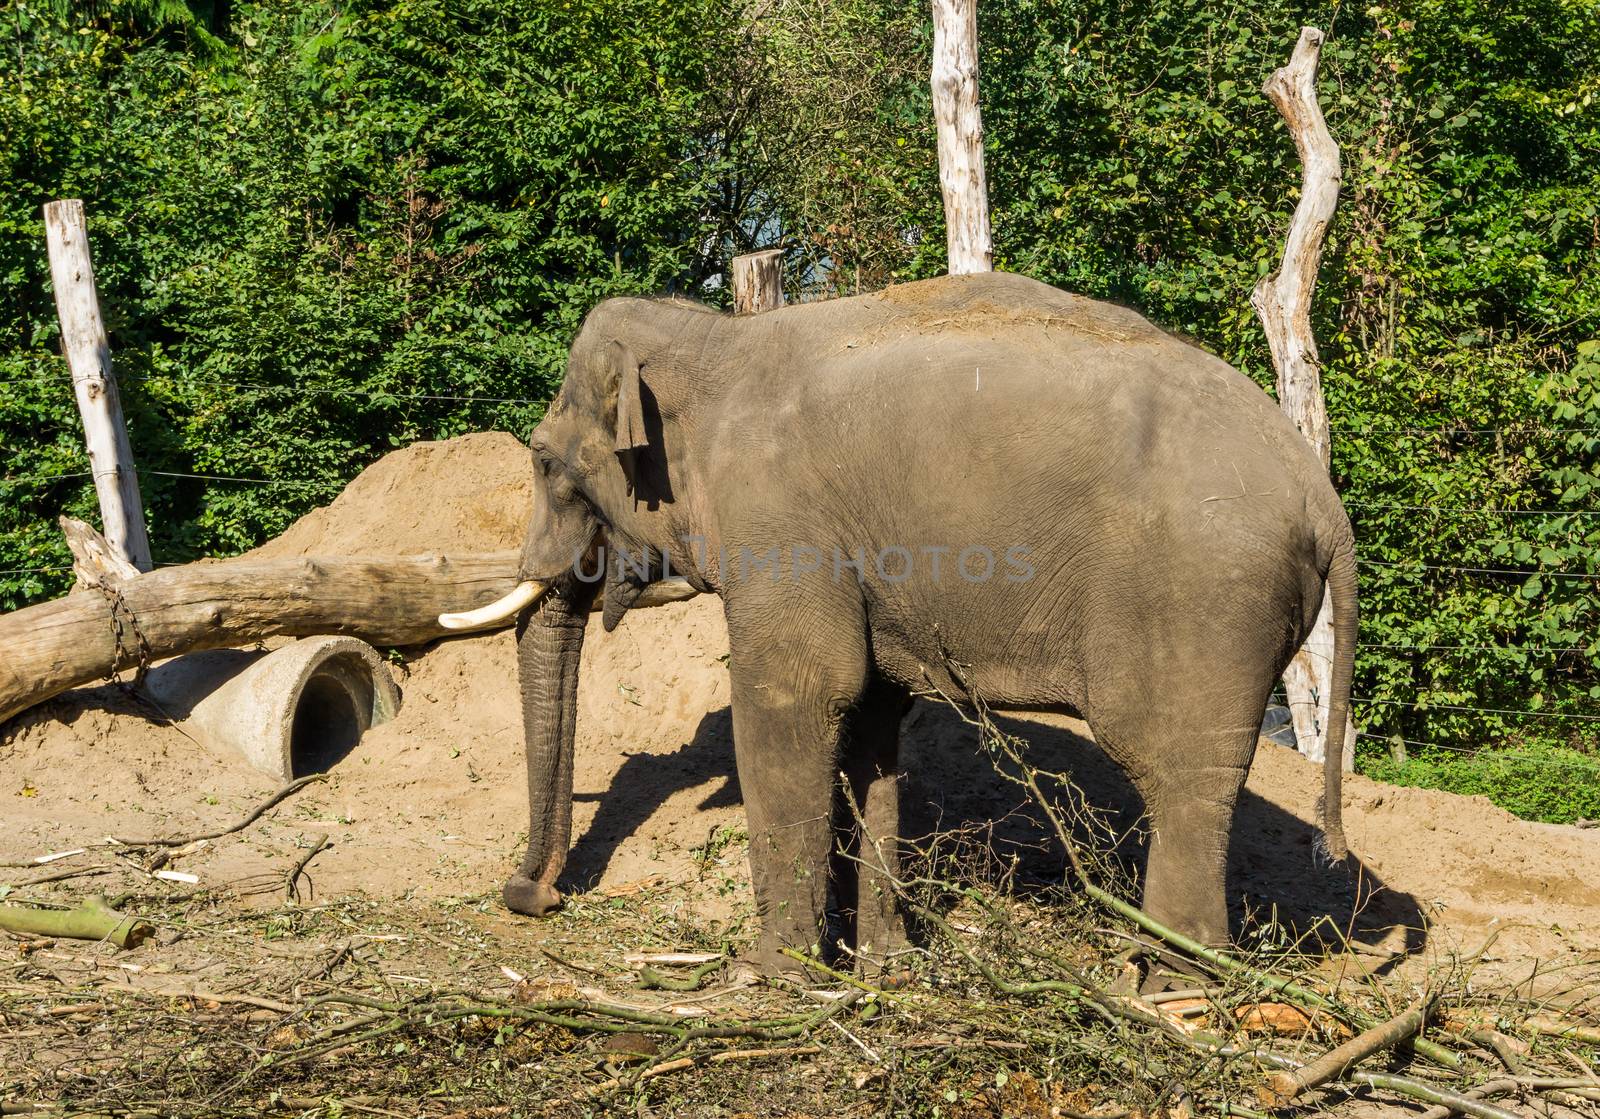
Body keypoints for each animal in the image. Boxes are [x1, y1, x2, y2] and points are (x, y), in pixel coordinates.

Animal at [438, 272, 1350, 979]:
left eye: (543, 462)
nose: (530, 896)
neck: (717, 337)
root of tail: (1323, 500)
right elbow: (869, 718)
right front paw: (886, 967)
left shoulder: (782, 524)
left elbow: (795, 693)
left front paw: (769, 976)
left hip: (1206, 599)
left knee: (1182, 775)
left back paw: (1169, 990)